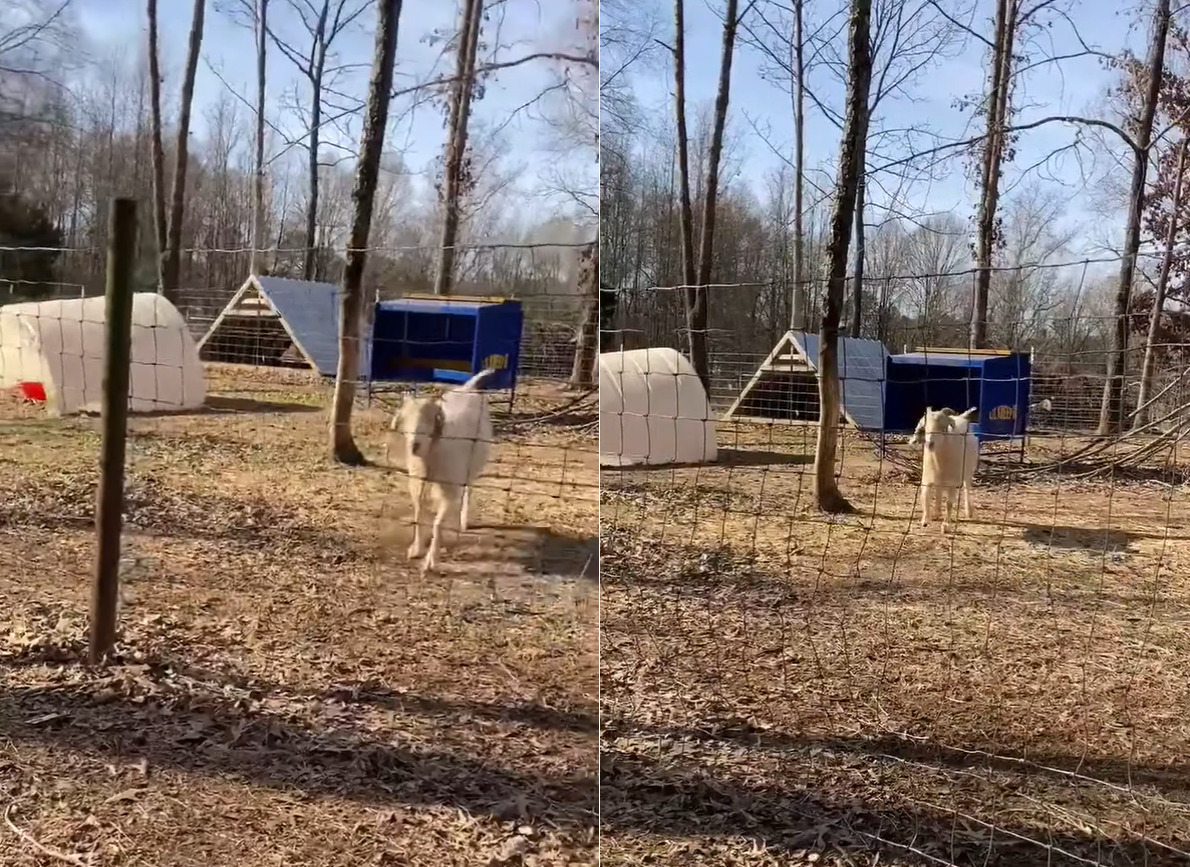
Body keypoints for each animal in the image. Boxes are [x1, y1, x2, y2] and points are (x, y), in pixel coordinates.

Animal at [387, 368, 495, 570]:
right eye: (405, 419)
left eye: (430, 419)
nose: (414, 445)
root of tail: (468, 387)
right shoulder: (417, 485)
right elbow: (419, 514)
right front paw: (416, 549)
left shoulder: (449, 487)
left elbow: (438, 523)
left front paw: (431, 559)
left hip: (471, 466)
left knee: (468, 489)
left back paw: (463, 521)